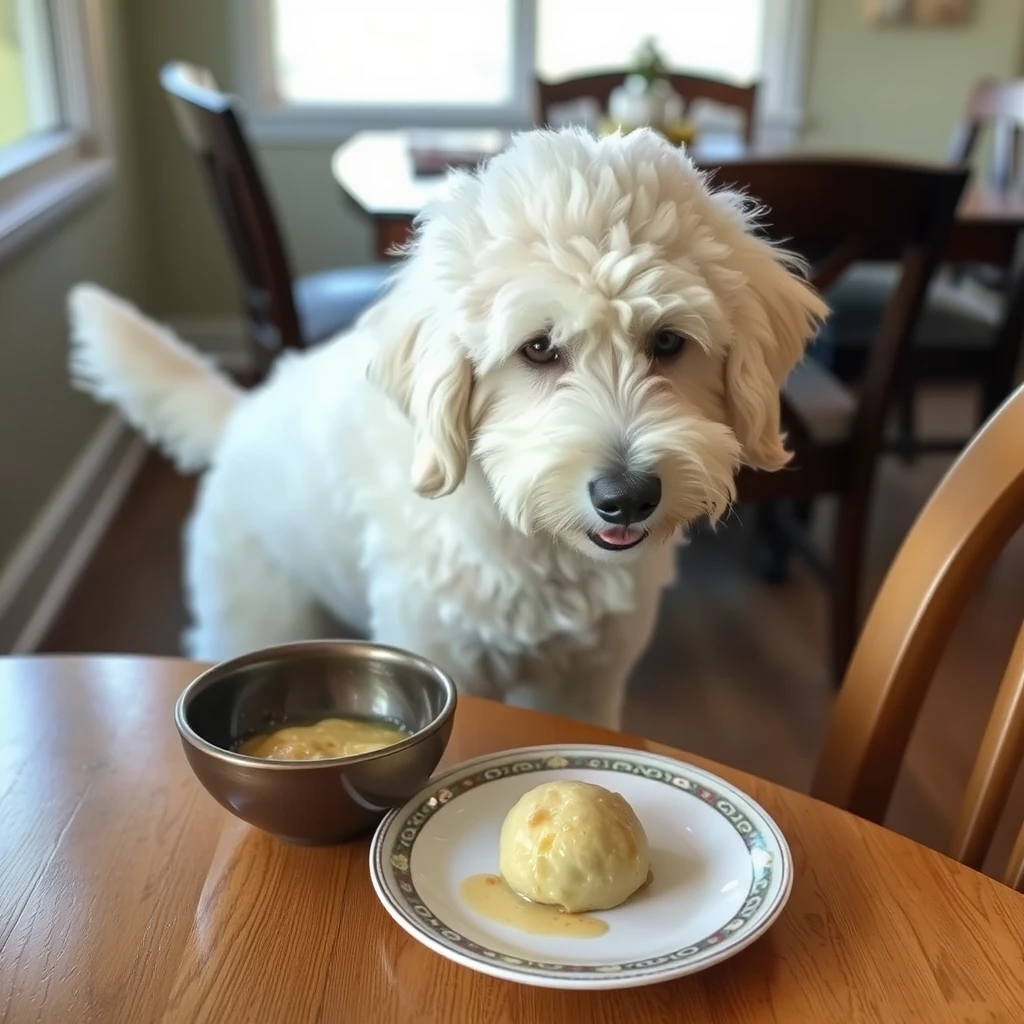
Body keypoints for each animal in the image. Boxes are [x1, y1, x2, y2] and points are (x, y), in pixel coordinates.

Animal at [68, 128, 823, 729]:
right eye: (539, 348)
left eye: (667, 342)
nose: (628, 496)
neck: (540, 547)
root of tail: (240, 415)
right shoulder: (435, 648)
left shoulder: (588, 678)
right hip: (254, 608)